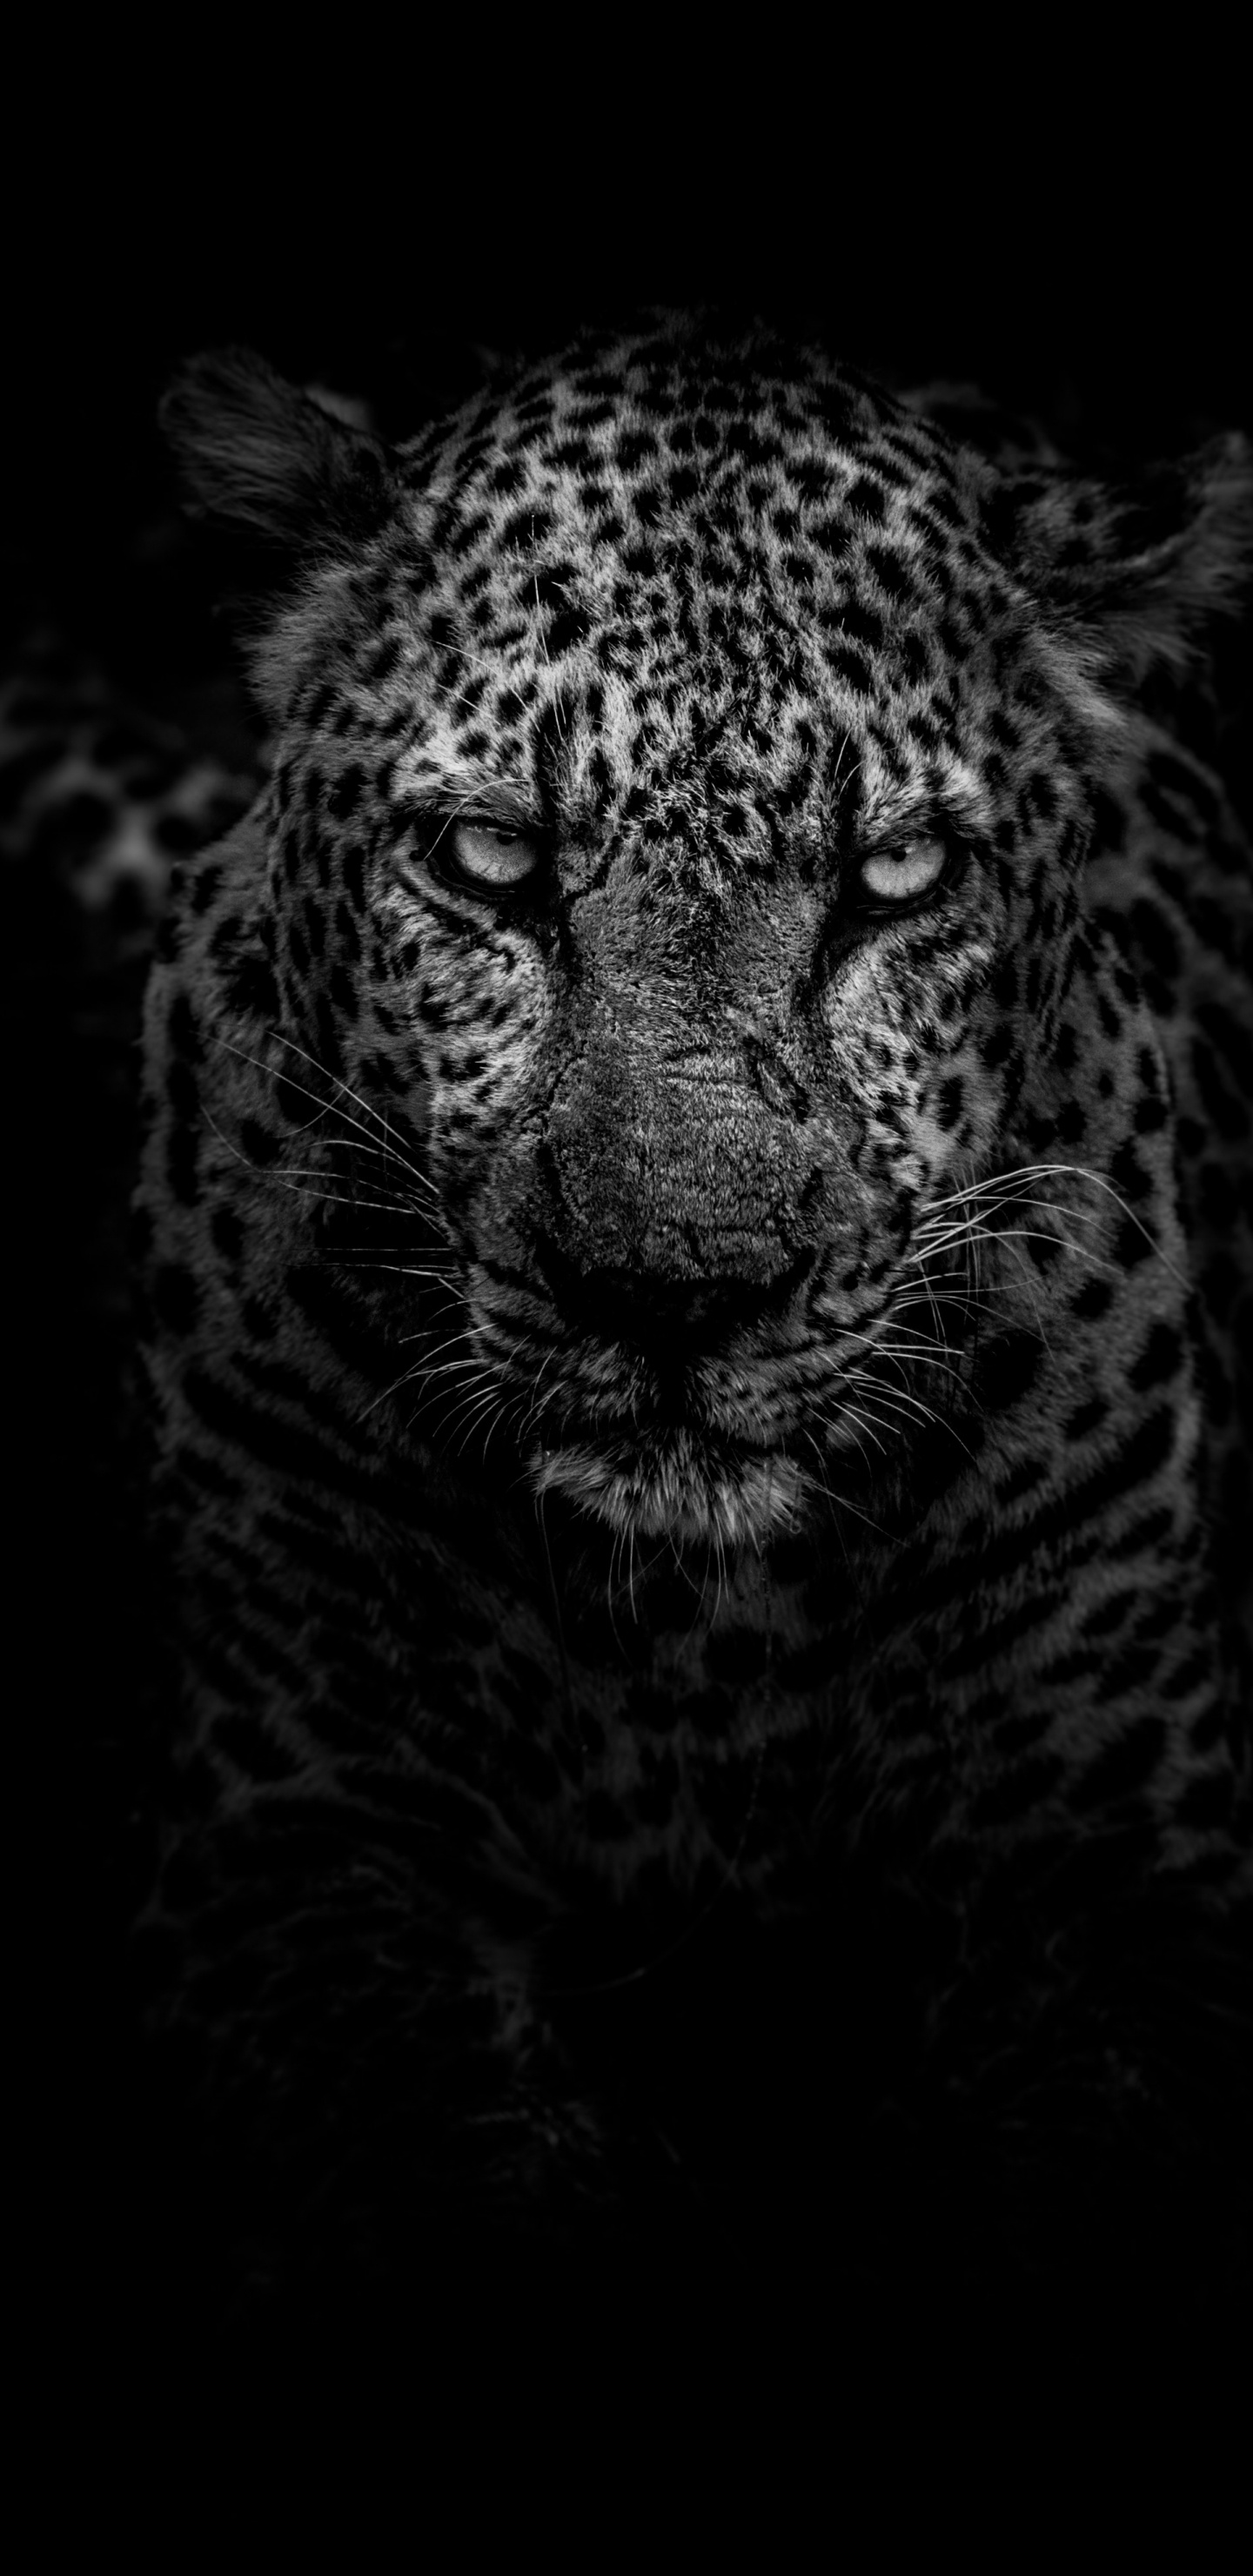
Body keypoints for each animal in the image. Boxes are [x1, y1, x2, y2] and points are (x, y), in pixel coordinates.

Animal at [87, 312, 1253, 2332]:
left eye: (894, 879)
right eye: (488, 861)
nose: (675, 1292)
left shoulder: (1119, 1866)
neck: (694, 1634)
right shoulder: (292, 1841)